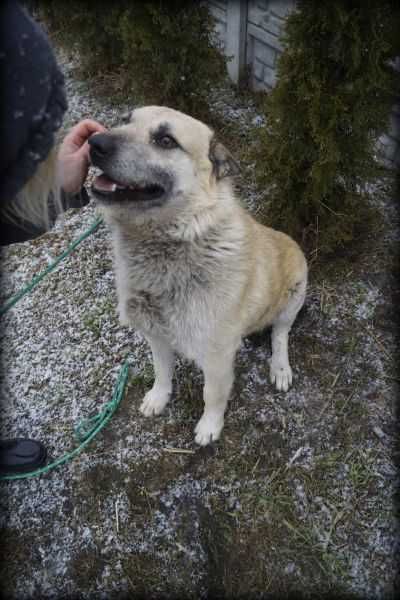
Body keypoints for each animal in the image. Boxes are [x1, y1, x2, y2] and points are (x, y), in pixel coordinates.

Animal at [89, 106, 308, 446]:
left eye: (166, 140)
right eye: (126, 120)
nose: (93, 143)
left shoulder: (217, 355)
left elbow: (213, 394)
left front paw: (209, 426)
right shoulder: (156, 334)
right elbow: (162, 371)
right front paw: (159, 397)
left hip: (295, 293)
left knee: (280, 334)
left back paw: (280, 367)